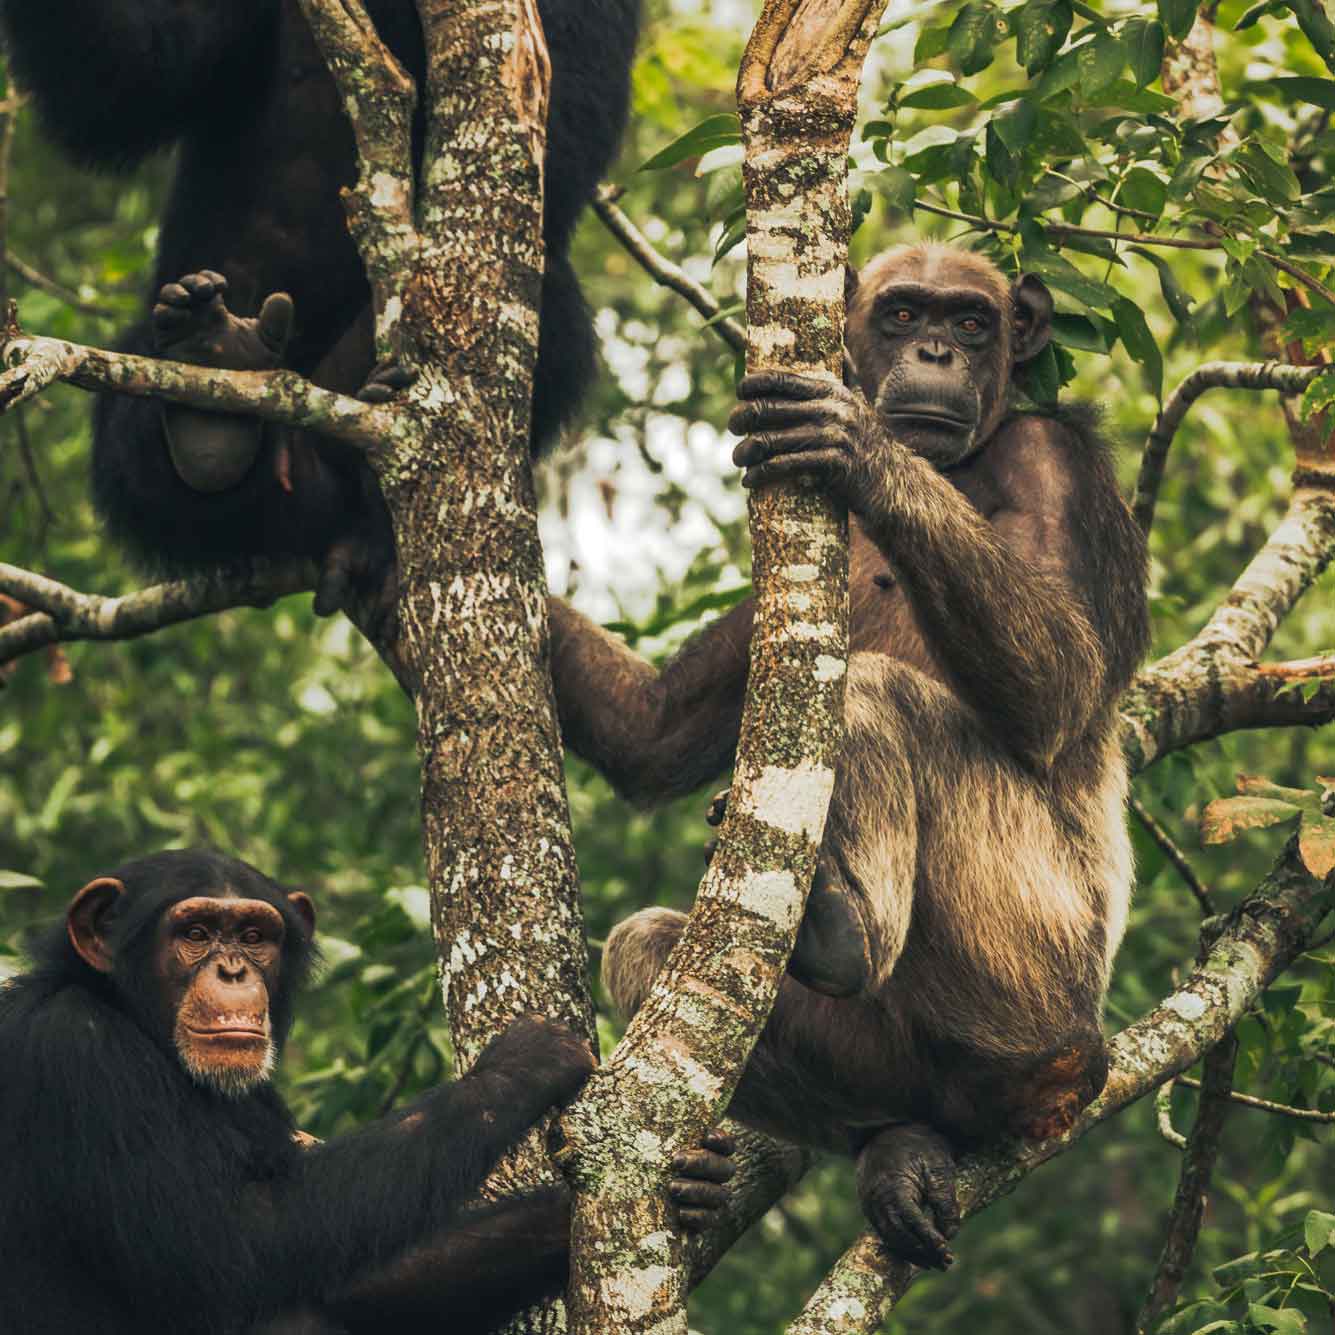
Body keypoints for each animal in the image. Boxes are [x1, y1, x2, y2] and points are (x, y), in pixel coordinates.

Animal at [0, 849, 731, 1329]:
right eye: (195, 932)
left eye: (254, 935)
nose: (233, 970)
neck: (136, 1024)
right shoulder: (78, 1055)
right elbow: (234, 1242)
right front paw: (521, 1063)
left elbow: (348, 1283)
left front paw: (695, 1182)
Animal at [547, 242, 1153, 1270]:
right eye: (903, 312)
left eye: (971, 322)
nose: (938, 353)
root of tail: (1066, 1079)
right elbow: (653, 728)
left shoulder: (1057, 463)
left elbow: (1063, 678)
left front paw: (855, 441)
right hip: (901, 1060)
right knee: (647, 949)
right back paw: (894, 1144)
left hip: (1030, 953)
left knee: (873, 689)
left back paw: (836, 929)